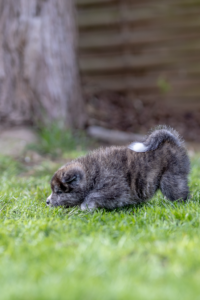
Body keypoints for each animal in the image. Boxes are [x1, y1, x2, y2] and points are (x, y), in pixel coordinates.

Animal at [46, 126, 190, 211]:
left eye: (59, 192)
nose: (47, 202)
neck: (93, 174)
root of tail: (172, 143)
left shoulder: (115, 190)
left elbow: (94, 195)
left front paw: (86, 206)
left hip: (170, 179)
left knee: (180, 193)